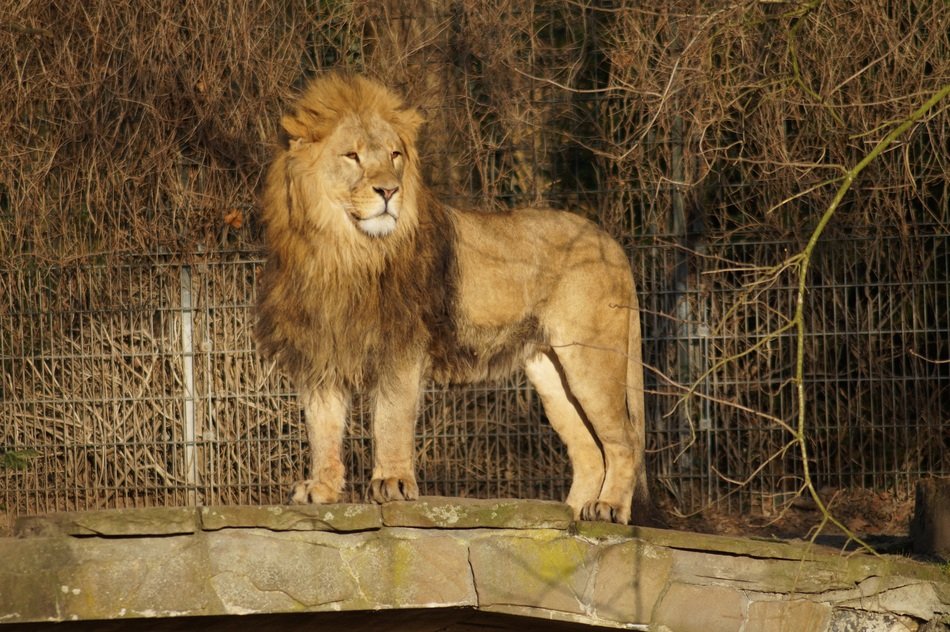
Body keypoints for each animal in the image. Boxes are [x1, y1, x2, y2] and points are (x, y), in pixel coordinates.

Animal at [255, 73, 647, 524]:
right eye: (352, 156)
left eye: (394, 155)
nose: (389, 191)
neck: (342, 251)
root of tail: (611, 242)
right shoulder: (321, 350)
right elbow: (322, 428)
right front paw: (320, 489)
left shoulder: (401, 345)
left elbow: (391, 417)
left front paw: (392, 483)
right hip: (551, 371)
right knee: (587, 450)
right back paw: (571, 515)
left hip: (592, 358)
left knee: (624, 441)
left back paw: (608, 508)